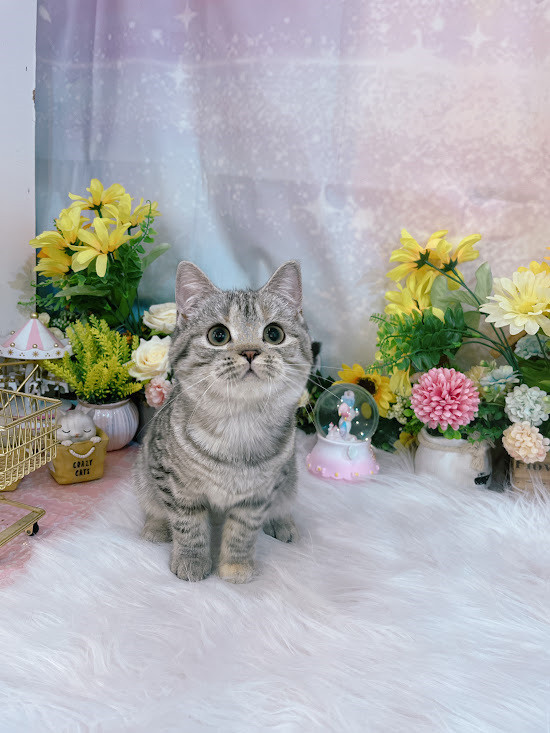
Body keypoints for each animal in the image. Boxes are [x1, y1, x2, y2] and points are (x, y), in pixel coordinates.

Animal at [134, 260, 312, 583]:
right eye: (218, 335)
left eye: (274, 334)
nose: (250, 351)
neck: (238, 423)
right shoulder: (173, 481)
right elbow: (187, 524)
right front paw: (191, 559)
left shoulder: (260, 494)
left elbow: (243, 531)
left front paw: (235, 566)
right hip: (143, 472)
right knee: (153, 504)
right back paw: (156, 527)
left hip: (289, 478)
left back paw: (283, 523)